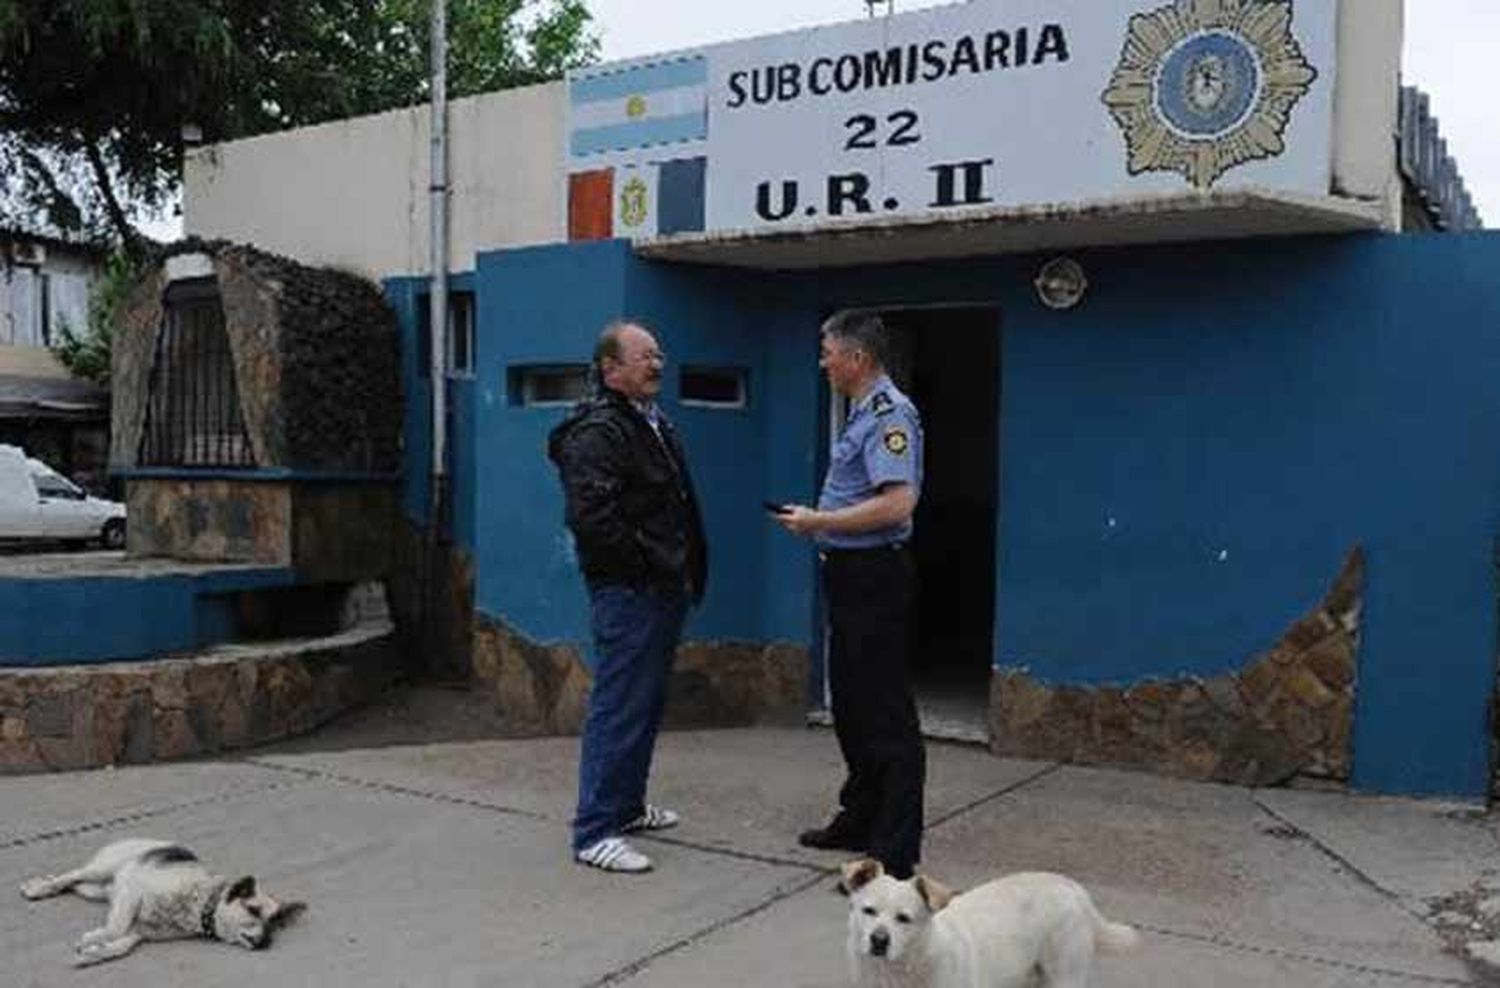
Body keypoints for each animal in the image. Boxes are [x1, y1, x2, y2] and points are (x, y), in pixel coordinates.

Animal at [19, 839, 304, 971]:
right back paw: (39, 888)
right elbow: (115, 929)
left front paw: (94, 953)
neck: (200, 904)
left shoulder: (139, 932)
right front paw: (93, 940)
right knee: (70, 876)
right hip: (103, 870)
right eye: (253, 910)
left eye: (275, 925)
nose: (267, 943)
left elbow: (122, 945)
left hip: (94, 890)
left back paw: (44, 883)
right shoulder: (130, 891)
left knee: (72, 884)